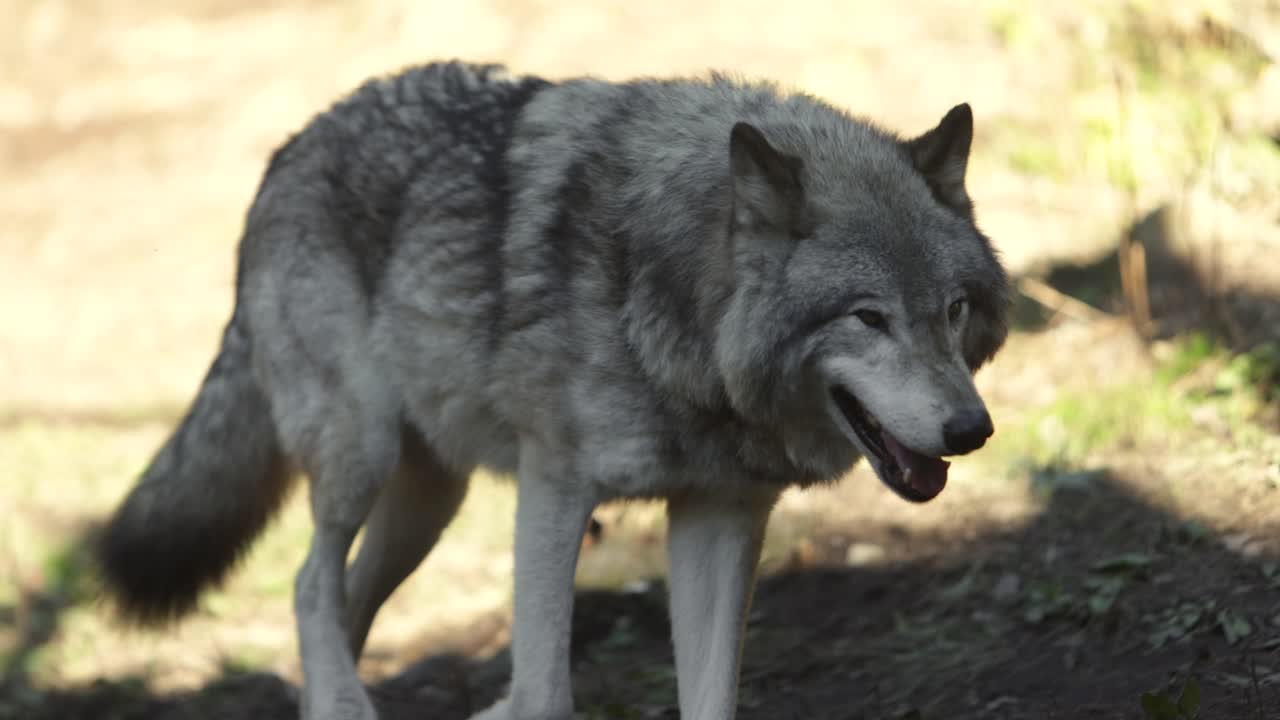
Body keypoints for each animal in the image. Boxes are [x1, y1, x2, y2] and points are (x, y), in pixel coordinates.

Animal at [97, 61, 1008, 720]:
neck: (673, 302)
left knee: (338, 604)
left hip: (429, 505)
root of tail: (288, 146)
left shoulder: (719, 513)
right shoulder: (554, 487)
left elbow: (712, 695)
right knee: (309, 586)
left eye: (955, 310)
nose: (972, 430)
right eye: (868, 318)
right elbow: (544, 690)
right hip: (361, 454)